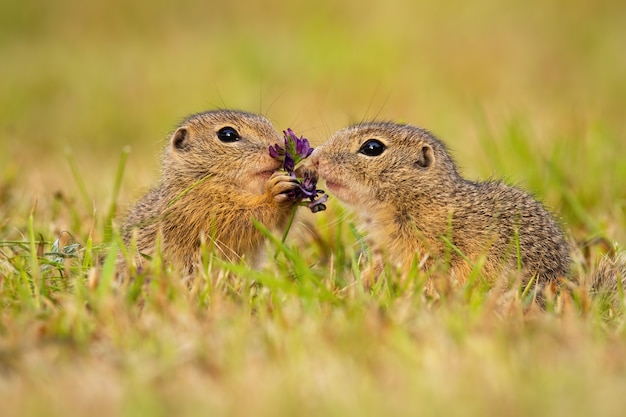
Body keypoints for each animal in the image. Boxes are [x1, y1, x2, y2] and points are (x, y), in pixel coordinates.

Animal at [121, 109, 300, 272]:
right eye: (227, 134)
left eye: (268, 123)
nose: (282, 148)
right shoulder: (199, 210)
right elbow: (242, 220)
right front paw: (273, 194)